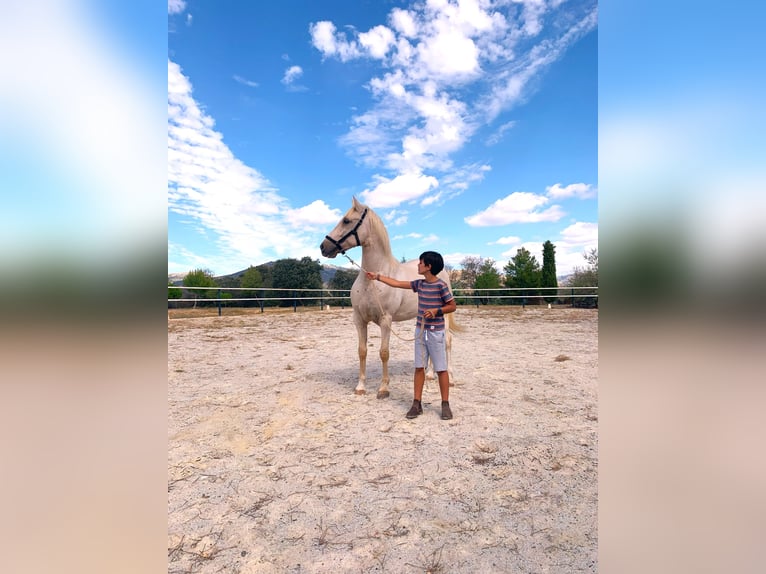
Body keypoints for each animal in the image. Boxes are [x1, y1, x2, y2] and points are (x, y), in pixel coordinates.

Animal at [320, 196, 460, 398]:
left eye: (346, 221)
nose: (323, 247)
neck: (371, 281)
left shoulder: (386, 320)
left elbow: (384, 352)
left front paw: (383, 388)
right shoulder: (359, 320)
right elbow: (362, 351)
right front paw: (360, 386)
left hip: (444, 316)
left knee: (447, 342)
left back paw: (451, 377)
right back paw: (430, 374)